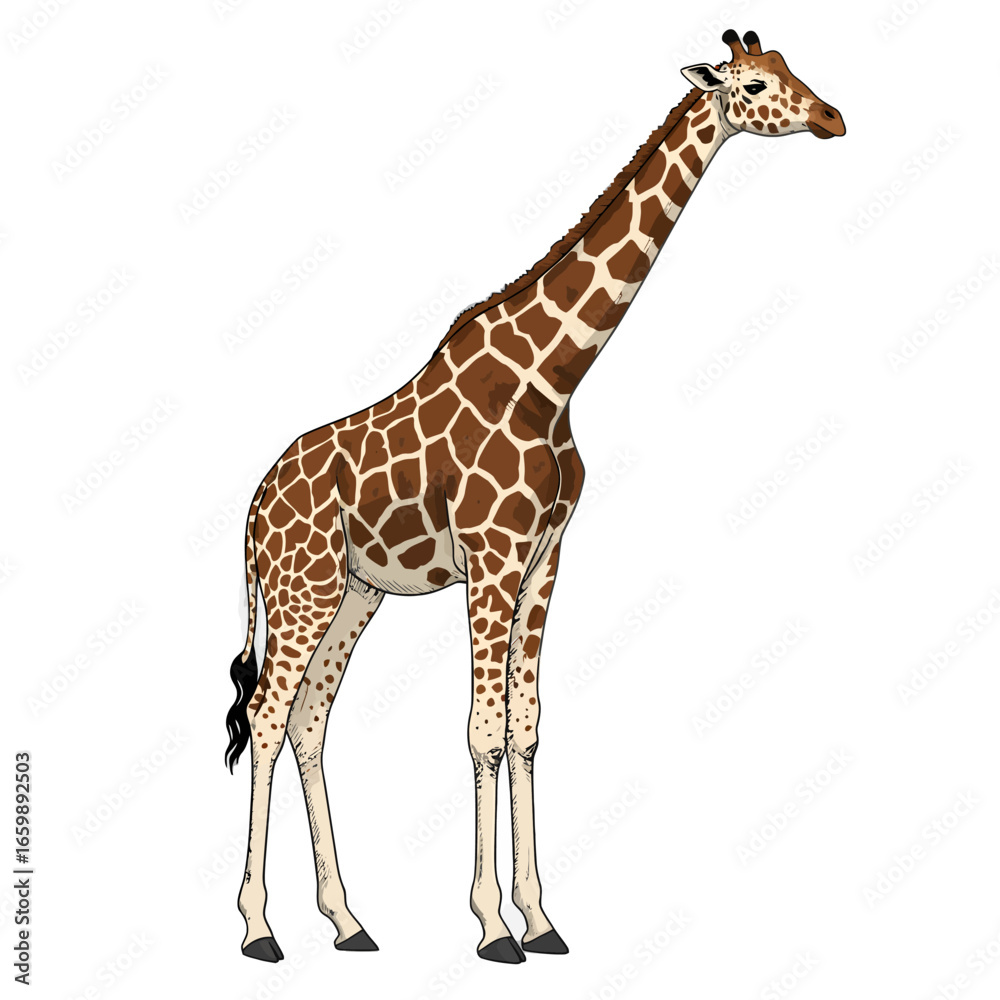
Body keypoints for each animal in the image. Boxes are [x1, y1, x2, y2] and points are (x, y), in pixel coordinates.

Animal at [224, 29, 844, 964]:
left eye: (794, 71)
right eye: (755, 86)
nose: (833, 118)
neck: (549, 379)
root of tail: (249, 513)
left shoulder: (546, 560)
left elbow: (527, 728)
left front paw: (541, 919)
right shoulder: (493, 556)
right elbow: (482, 730)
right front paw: (491, 928)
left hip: (355, 592)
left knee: (307, 720)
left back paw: (348, 921)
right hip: (303, 588)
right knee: (265, 714)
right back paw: (260, 928)